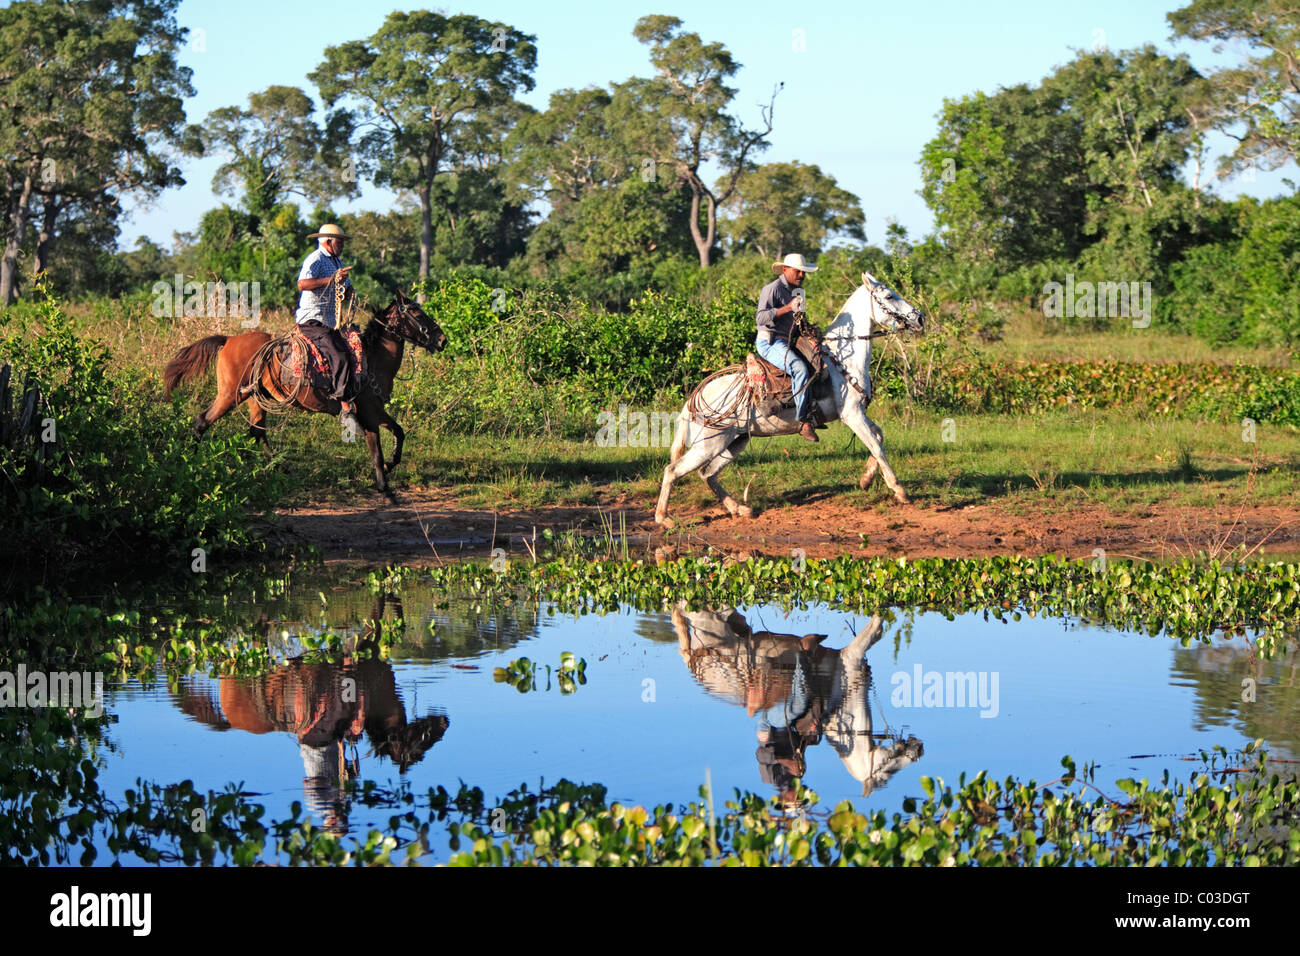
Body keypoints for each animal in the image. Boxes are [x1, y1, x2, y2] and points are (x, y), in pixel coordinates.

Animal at [162, 289, 446, 493]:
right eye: (417, 313)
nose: (442, 340)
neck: (372, 358)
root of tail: (228, 339)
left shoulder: (376, 410)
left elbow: (399, 432)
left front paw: (389, 466)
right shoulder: (367, 412)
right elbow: (376, 449)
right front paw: (383, 484)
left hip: (255, 398)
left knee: (257, 431)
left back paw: (279, 467)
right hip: (231, 395)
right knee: (203, 421)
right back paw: (192, 462)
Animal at [654, 272, 926, 527]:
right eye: (889, 296)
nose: (920, 318)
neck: (841, 360)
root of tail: (691, 402)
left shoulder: (859, 412)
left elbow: (878, 436)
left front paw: (866, 479)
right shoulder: (851, 414)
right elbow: (877, 447)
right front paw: (899, 490)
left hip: (734, 442)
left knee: (707, 473)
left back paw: (739, 509)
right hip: (708, 444)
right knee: (674, 470)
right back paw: (664, 518)